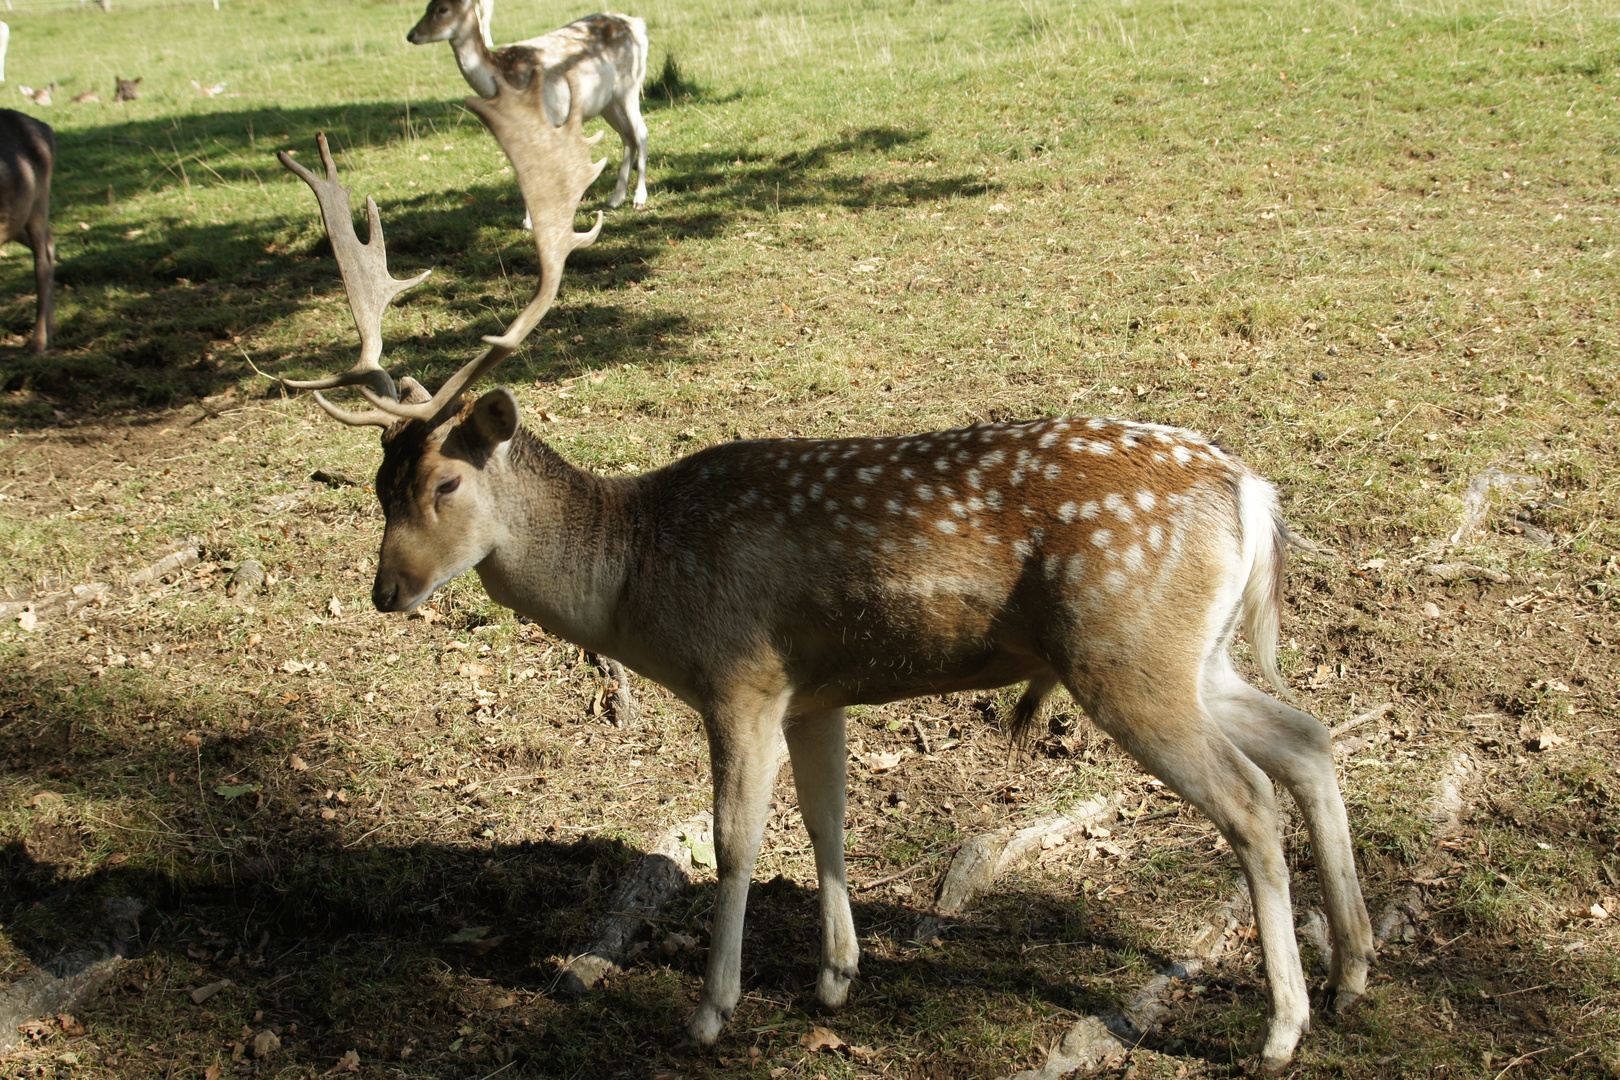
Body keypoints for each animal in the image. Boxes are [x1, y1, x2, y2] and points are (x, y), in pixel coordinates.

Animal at [272, 71, 1373, 1075]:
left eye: (446, 481)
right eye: (376, 483)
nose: (386, 590)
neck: (638, 578)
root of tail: (1250, 489)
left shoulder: (741, 675)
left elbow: (736, 840)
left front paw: (712, 1011)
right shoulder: (815, 692)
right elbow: (827, 818)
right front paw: (837, 978)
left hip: (1125, 647)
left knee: (1250, 800)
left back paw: (1282, 1027)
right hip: (1193, 651)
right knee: (1309, 739)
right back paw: (1354, 970)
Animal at [408, 0, 648, 212]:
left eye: (442, 8)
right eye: (427, 5)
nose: (411, 34)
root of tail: (638, 24)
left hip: (630, 84)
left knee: (640, 131)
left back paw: (639, 198)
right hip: (606, 102)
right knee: (627, 135)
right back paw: (616, 198)